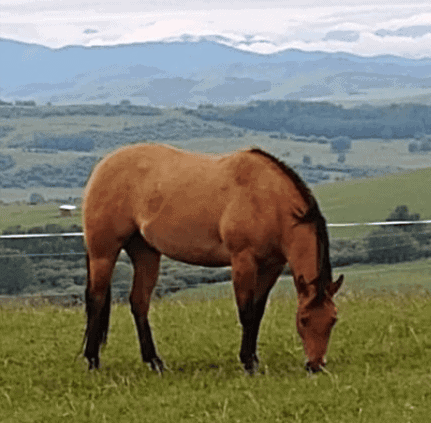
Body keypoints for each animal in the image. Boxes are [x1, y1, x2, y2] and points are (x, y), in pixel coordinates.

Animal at [82, 143, 343, 374]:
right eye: (304, 320)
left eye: (333, 320)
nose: (316, 365)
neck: (267, 198)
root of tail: (103, 165)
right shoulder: (243, 261)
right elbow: (247, 312)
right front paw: (248, 363)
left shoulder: (272, 267)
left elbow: (258, 312)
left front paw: (253, 359)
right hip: (103, 253)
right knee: (96, 299)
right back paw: (93, 361)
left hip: (145, 253)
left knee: (139, 302)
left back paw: (155, 362)